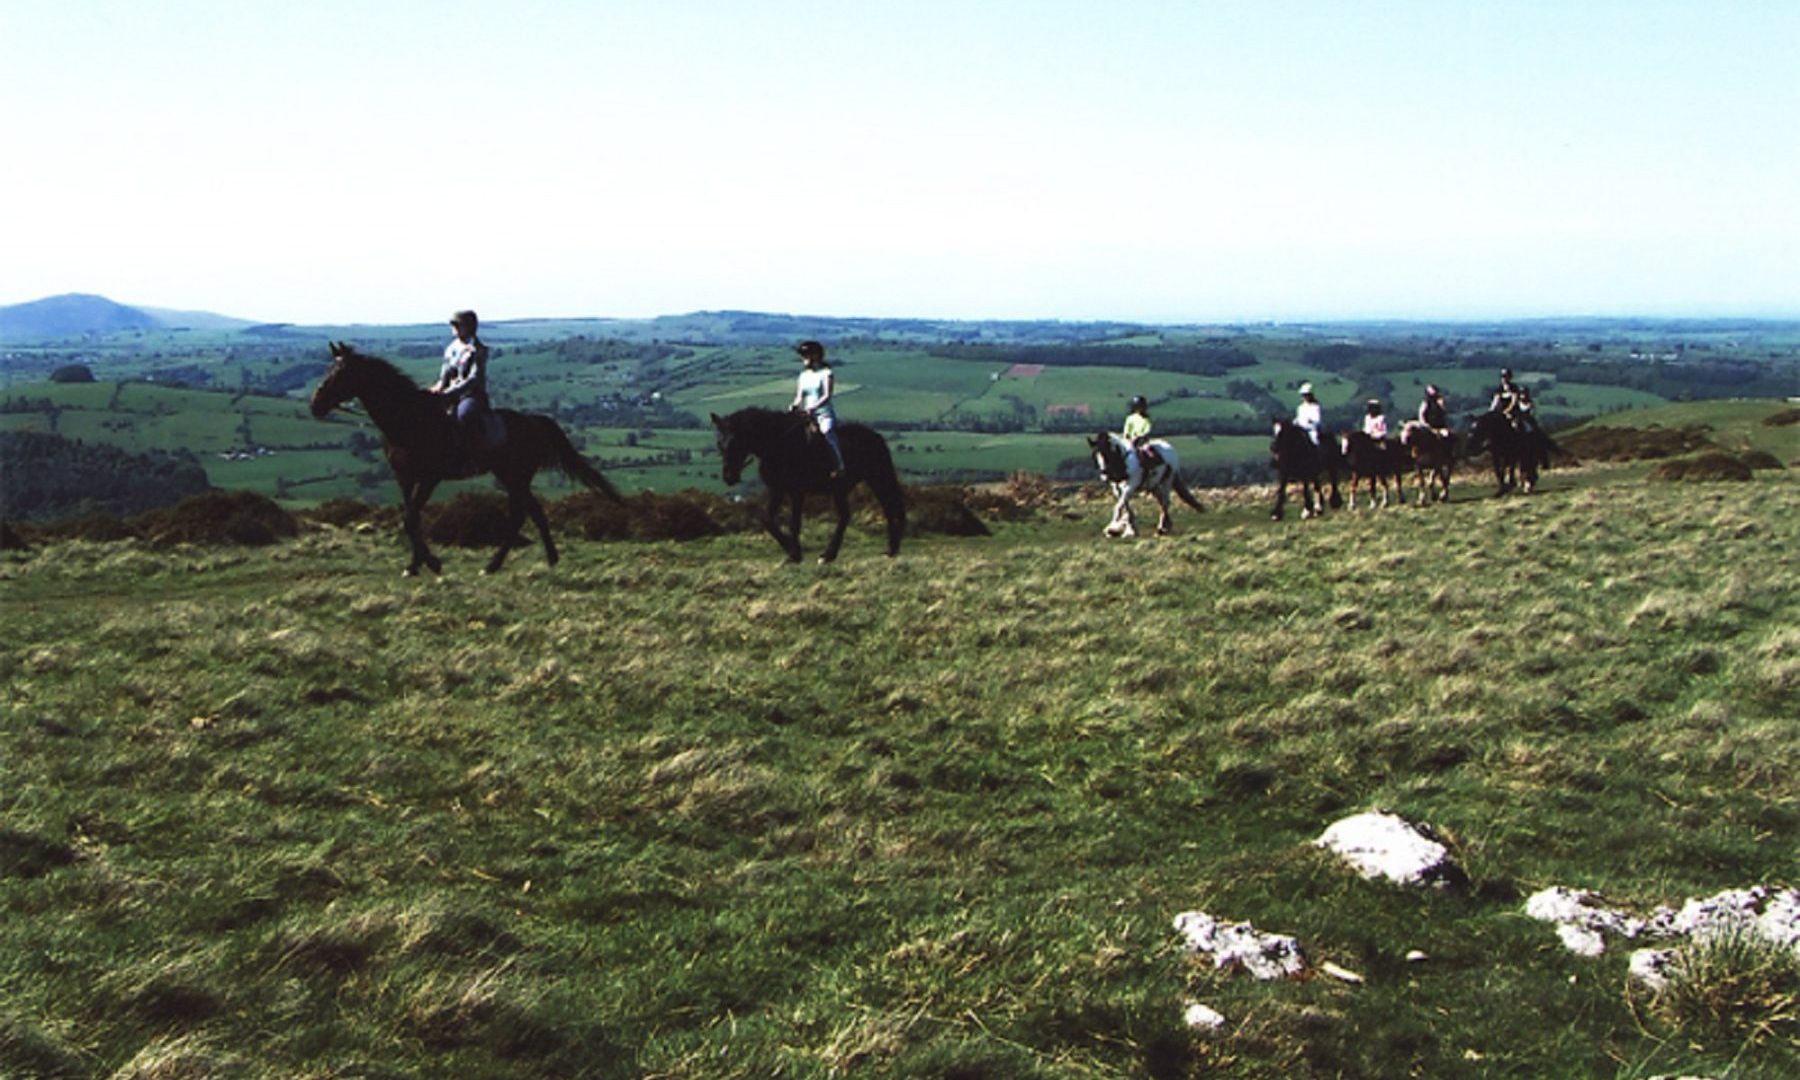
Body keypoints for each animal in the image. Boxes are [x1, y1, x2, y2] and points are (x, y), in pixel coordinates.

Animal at [309, 343, 619, 579]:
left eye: (340, 374)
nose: (315, 405)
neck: (409, 420)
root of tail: (534, 421)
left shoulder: (430, 477)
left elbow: (411, 517)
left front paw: (432, 563)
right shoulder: (404, 477)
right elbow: (410, 518)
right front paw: (415, 565)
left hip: (513, 477)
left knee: (519, 516)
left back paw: (492, 565)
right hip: (515, 477)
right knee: (535, 512)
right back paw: (551, 559)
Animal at [702, 406, 900, 565]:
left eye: (736, 442)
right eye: (720, 443)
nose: (729, 477)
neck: (777, 444)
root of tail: (875, 436)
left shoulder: (796, 492)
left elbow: (794, 523)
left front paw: (795, 554)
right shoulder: (777, 490)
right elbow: (767, 519)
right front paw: (791, 553)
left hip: (876, 479)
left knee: (888, 509)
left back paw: (887, 551)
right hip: (841, 489)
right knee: (847, 515)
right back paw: (832, 555)